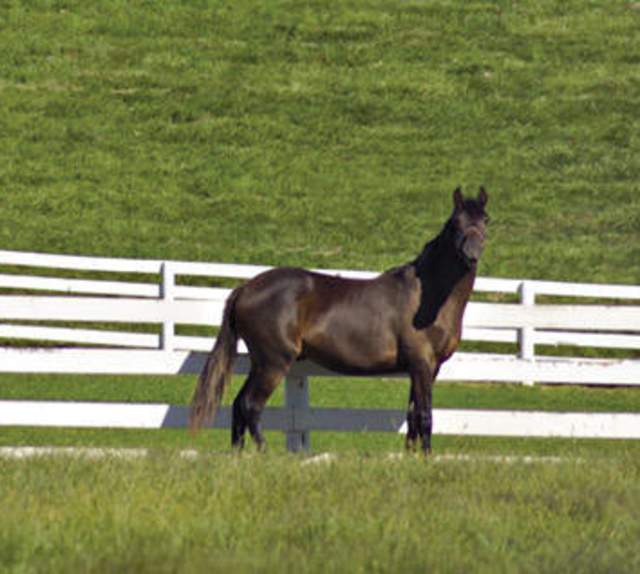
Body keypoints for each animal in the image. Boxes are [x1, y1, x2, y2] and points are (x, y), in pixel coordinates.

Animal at [190, 186, 489, 454]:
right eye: (455, 223)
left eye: (486, 220)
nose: (472, 254)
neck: (427, 297)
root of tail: (246, 288)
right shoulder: (422, 364)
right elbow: (425, 416)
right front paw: (425, 458)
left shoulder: (427, 368)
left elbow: (413, 416)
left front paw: (411, 456)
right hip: (273, 363)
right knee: (250, 405)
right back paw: (263, 453)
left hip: (261, 363)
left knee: (238, 405)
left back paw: (238, 454)